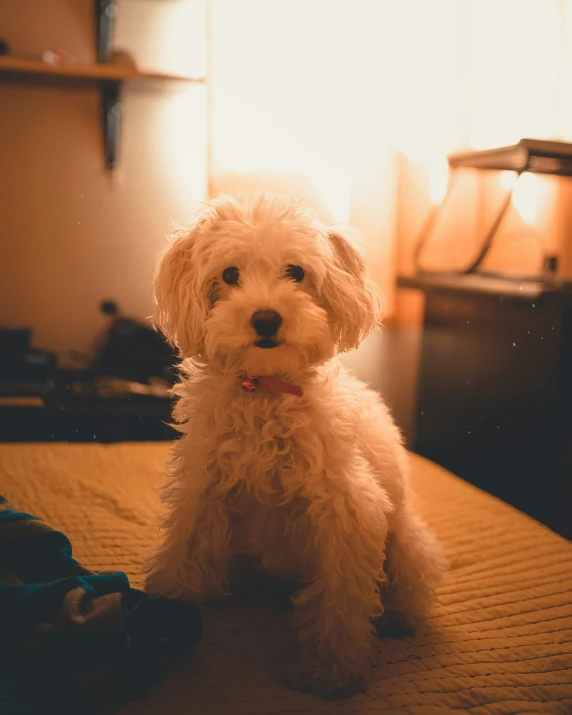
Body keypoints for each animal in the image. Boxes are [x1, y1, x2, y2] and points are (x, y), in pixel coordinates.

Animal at [144, 193, 446, 696]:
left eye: (296, 271)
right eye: (230, 274)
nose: (266, 318)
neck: (264, 390)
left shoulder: (348, 511)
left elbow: (340, 601)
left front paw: (329, 672)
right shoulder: (203, 492)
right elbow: (182, 555)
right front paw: (165, 615)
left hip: (404, 542)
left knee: (409, 587)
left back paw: (398, 618)